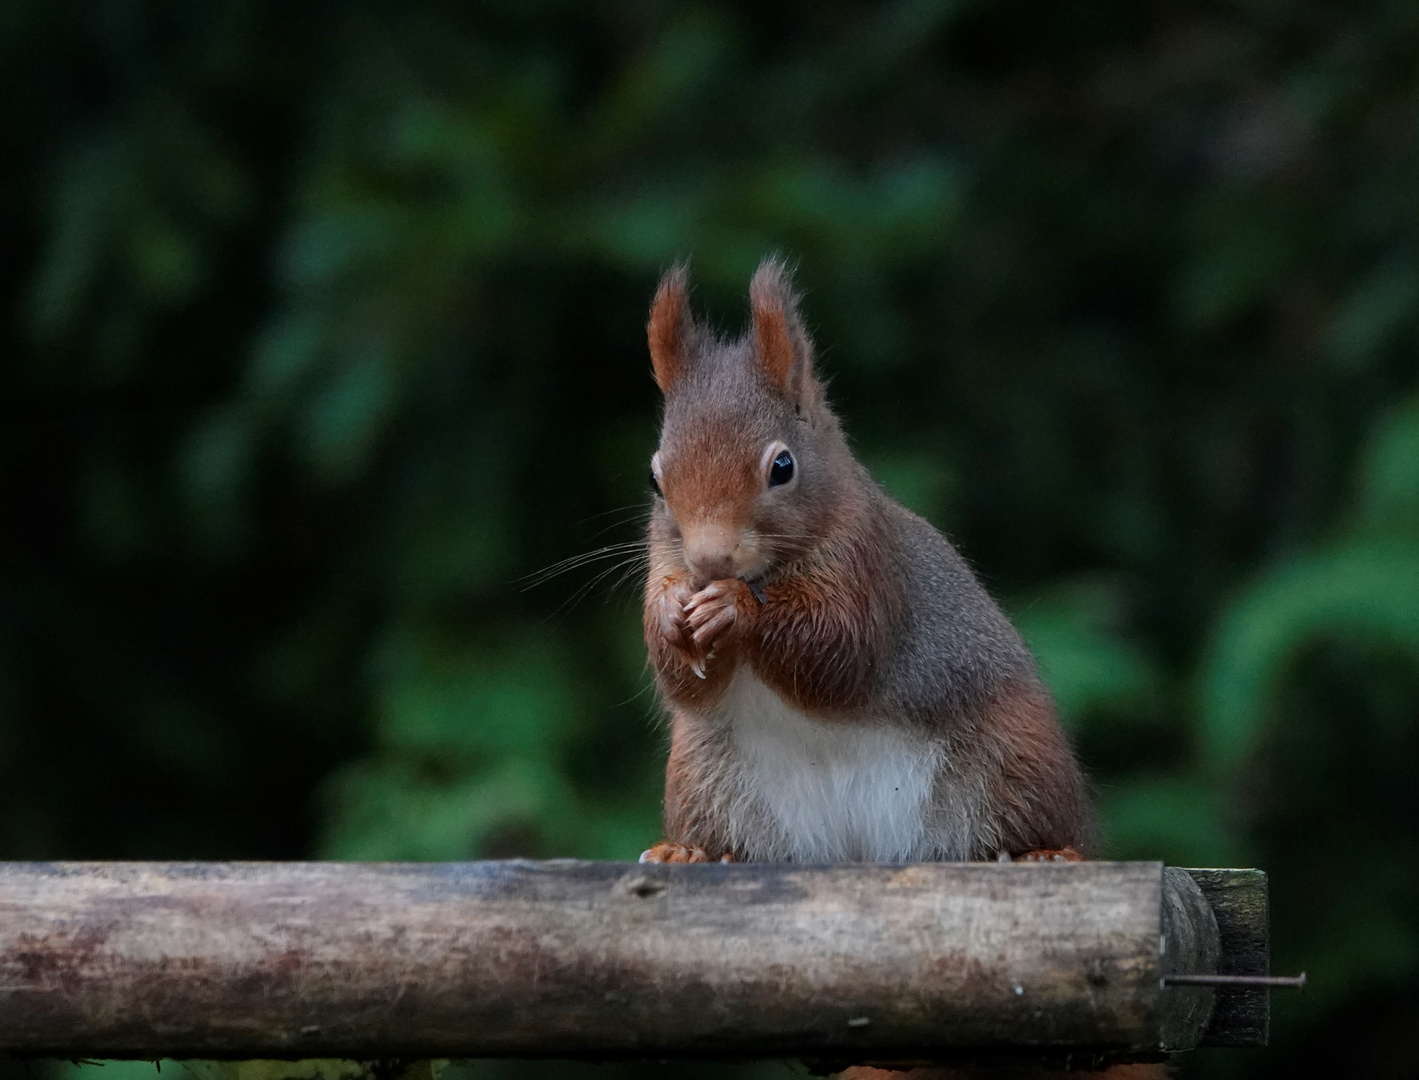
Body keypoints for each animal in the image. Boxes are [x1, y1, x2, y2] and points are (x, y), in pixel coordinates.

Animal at [638, 259, 1089, 868]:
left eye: (783, 466)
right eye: (654, 478)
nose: (710, 561)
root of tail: (860, 848)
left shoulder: (868, 562)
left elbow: (839, 644)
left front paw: (733, 608)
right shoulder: (663, 557)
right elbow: (686, 684)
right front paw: (669, 612)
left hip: (1017, 754)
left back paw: (1044, 854)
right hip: (701, 775)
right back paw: (691, 852)